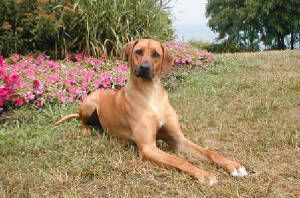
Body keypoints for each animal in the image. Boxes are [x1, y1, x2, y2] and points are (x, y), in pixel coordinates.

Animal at [55, 38, 247, 184]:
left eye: (156, 54)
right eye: (139, 51)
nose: (145, 67)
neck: (151, 94)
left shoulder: (178, 140)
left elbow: (209, 151)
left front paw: (233, 165)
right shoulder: (148, 147)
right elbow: (179, 160)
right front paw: (204, 174)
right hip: (90, 103)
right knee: (82, 120)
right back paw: (87, 129)